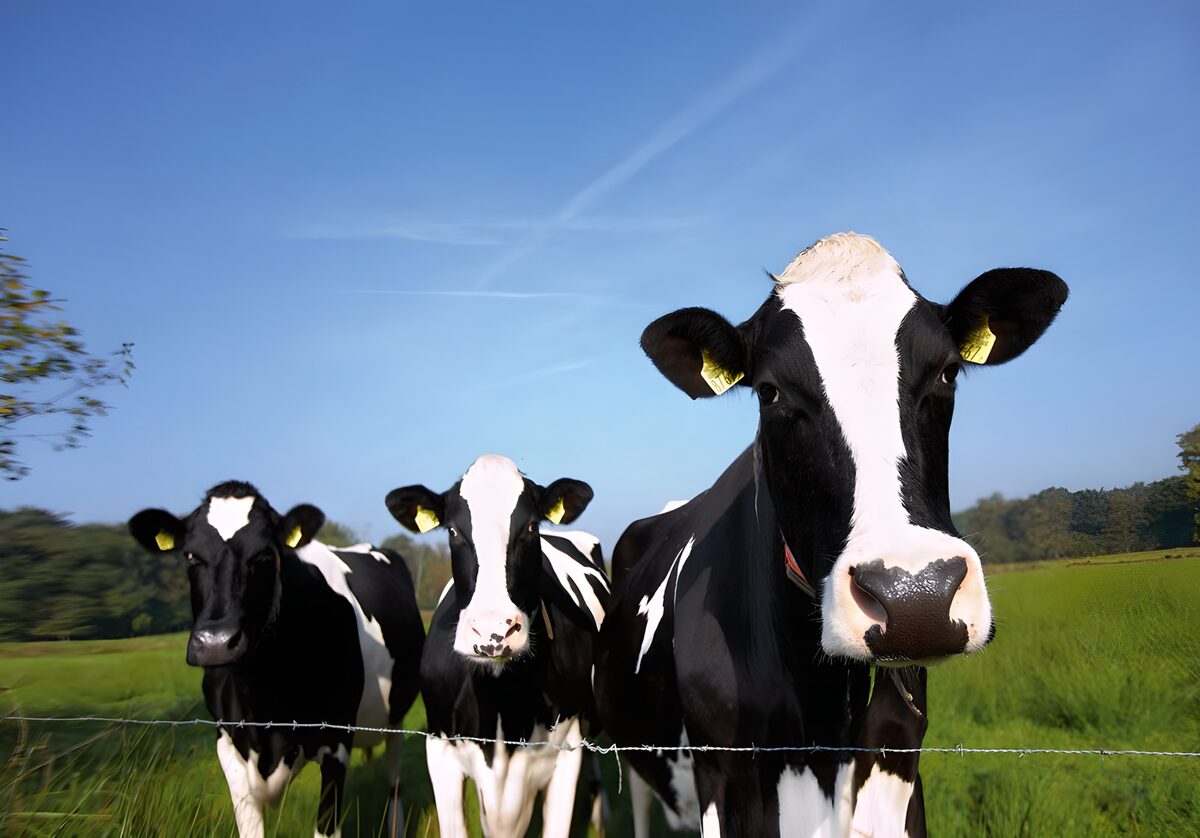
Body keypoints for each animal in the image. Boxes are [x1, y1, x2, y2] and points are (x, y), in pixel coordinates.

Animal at [128, 481, 425, 838]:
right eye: (190, 555)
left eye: (265, 554)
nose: (216, 643)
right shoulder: (227, 745)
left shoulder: (337, 743)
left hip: (396, 716)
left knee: (394, 781)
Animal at [595, 232, 1068, 836]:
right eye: (769, 392)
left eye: (948, 371)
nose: (915, 599)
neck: (825, 735)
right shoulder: (721, 777)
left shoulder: (897, 771)